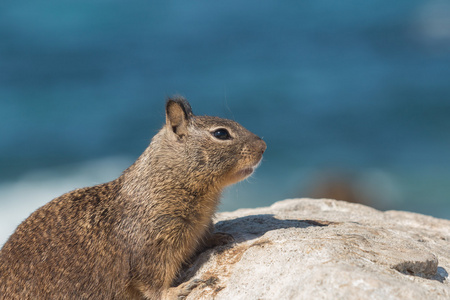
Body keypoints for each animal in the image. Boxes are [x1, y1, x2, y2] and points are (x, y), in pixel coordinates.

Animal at [0, 97, 268, 298]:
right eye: (221, 134)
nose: (264, 145)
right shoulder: (152, 246)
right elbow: (153, 283)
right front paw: (179, 289)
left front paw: (219, 237)